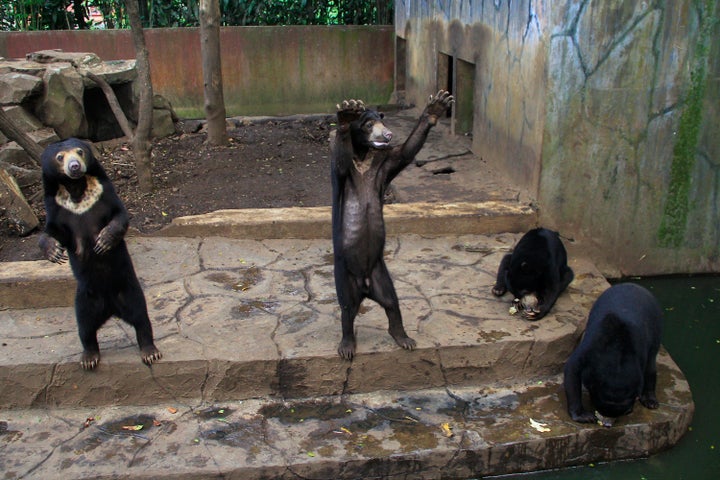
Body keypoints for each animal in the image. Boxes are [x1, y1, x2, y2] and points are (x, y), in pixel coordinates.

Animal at [40, 137, 163, 370]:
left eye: (79, 151)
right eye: (60, 157)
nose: (74, 166)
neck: (77, 189)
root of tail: (111, 309)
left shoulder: (104, 194)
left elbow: (120, 216)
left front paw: (103, 242)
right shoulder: (58, 207)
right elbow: (51, 231)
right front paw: (54, 252)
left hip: (129, 290)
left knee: (141, 318)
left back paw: (149, 351)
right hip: (85, 299)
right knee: (85, 327)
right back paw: (89, 357)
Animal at [330, 91, 452, 360]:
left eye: (381, 120)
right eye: (368, 124)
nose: (387, 134)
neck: (363, 155)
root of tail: (365, 287)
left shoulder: (384, 163)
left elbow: (405, 152)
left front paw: (436, 107)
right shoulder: (342, 170)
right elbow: (341, 162)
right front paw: (346, 114)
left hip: (380, 272)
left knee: (392, 302)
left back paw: (403, 337)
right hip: (345, 275)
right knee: (347, 309)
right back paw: (347, 344)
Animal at [564, 284, 660, 426]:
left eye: (621, 412)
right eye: (600, 407)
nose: (607, 425)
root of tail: (634, 285)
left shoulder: (640, 347)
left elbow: (648, 367)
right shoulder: (592, 343)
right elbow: (573, 367)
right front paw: (585, 416)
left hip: (656, 326)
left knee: (652, 362)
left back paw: (651, 401)